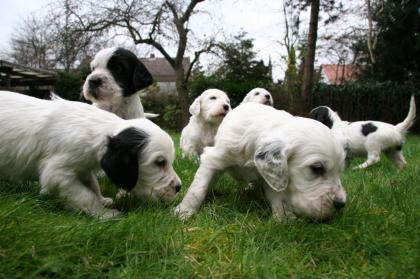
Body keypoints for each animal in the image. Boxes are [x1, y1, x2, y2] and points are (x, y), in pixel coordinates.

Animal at [0, 92, 181, 219]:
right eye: (159, 162)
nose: (179, 187)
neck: (99, 129)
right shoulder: (58, 174)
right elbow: (85, 195)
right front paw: (104, 213)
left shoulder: (83, 166)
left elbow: (92, 185)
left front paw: (103, 200)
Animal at [176, 104, 346, 222]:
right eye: (317, 168)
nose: (341, 204)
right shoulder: (214, 158)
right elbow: (198, 189)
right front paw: (184, 212)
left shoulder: (272, 175)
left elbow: (279, 195)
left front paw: (284, 219)